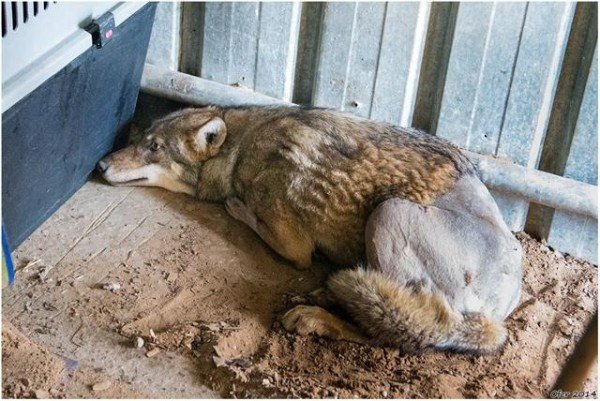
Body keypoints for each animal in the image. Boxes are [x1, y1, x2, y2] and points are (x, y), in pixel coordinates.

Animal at [98, 105, 520, 354]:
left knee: (400, 335)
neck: (241, 147)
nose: (100, 166)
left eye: (154, 147)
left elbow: (251, 217)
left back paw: (316, 317)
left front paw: (236, 206)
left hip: (388, 213)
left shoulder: (293, 245)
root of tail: (499, 312)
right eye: (140, 139)